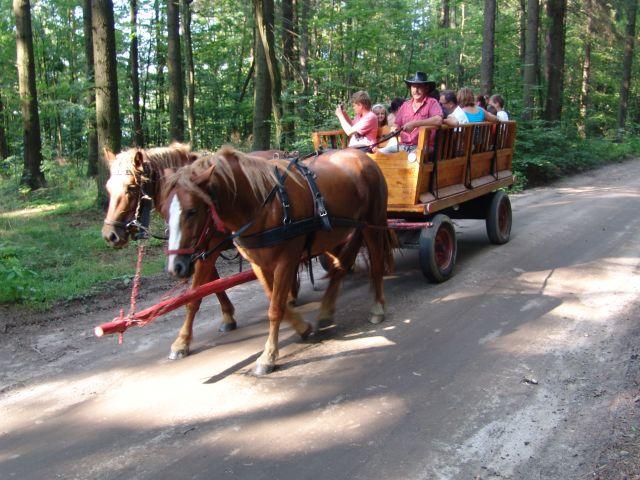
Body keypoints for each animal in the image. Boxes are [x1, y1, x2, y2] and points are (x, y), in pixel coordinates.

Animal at [99, 144, 288, 358]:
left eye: (131, 188)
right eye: (108, 188)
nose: (110, 235)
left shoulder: (208, 251)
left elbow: (194, 297)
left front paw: (182, 341)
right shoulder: (197, 251)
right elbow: (214, 285)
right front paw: (228, 316)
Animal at [164, 146, 396, 376]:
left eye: (192, 211)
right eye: (166, 213)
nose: (176, 267)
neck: (263, 204)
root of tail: (363, 155)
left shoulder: (286, 260)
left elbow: (275, 309)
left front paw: (268, 356)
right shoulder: (258, 263)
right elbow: (275, 299)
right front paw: (301, 327)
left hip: (372, 223)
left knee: (375, 264)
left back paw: (377, 308)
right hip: (342, 231)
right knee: (341, 266)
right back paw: (326, 311)